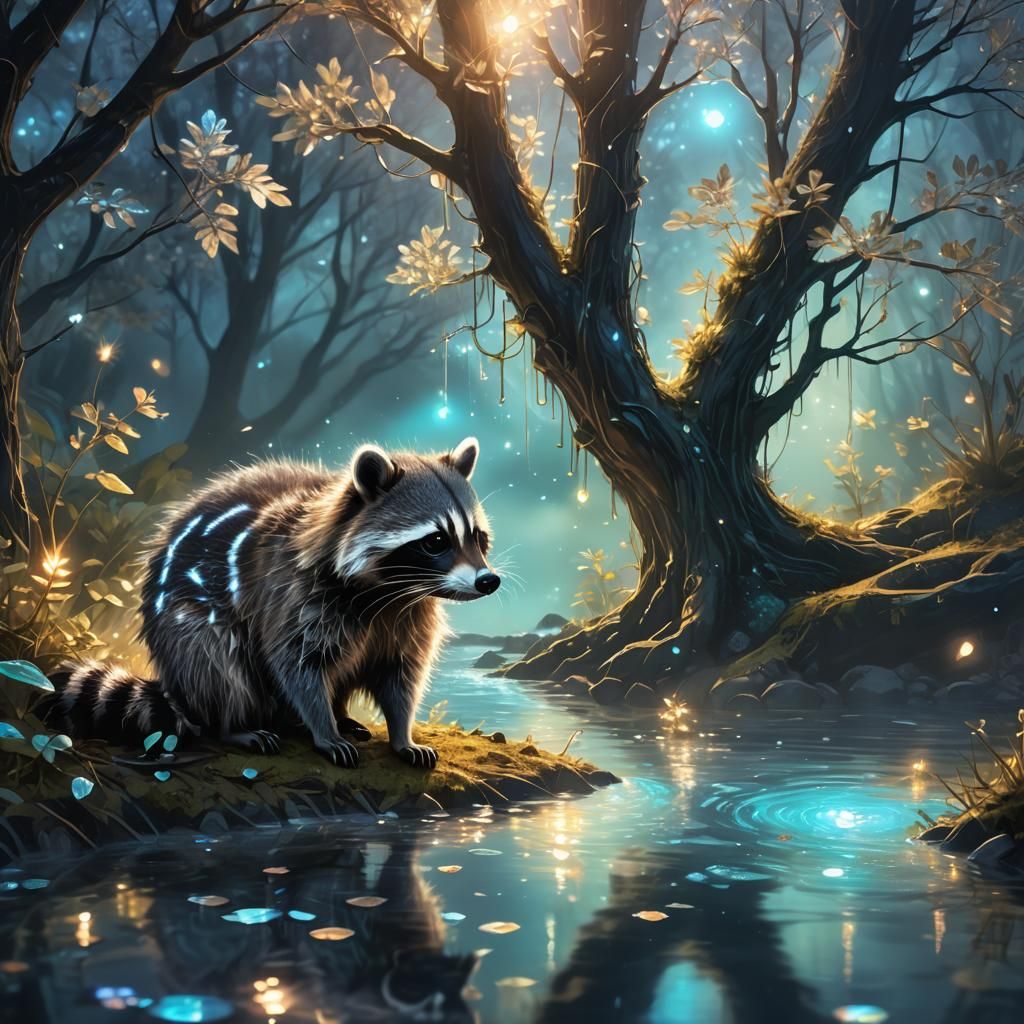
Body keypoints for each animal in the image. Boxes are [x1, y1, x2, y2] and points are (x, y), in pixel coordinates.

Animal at [49, 437, 498, 769]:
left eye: (478, 538)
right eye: (436, 540)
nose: (488, 580)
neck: (389, 591)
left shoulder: (408, 616)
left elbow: (399, 673)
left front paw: (401, 734)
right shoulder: (292, 592)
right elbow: (295, 665)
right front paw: (323, 729)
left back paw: (340, 715)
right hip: (185, 626)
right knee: (217, 661)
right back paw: (236, 724)